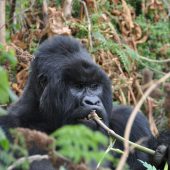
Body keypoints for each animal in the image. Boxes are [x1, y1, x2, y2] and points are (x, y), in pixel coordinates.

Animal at [0, 35, 170, 169]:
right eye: (77, 86)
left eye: (94, 86)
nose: (92, 101)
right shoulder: (8, 126)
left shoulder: (131, 121)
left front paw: (164, 148)